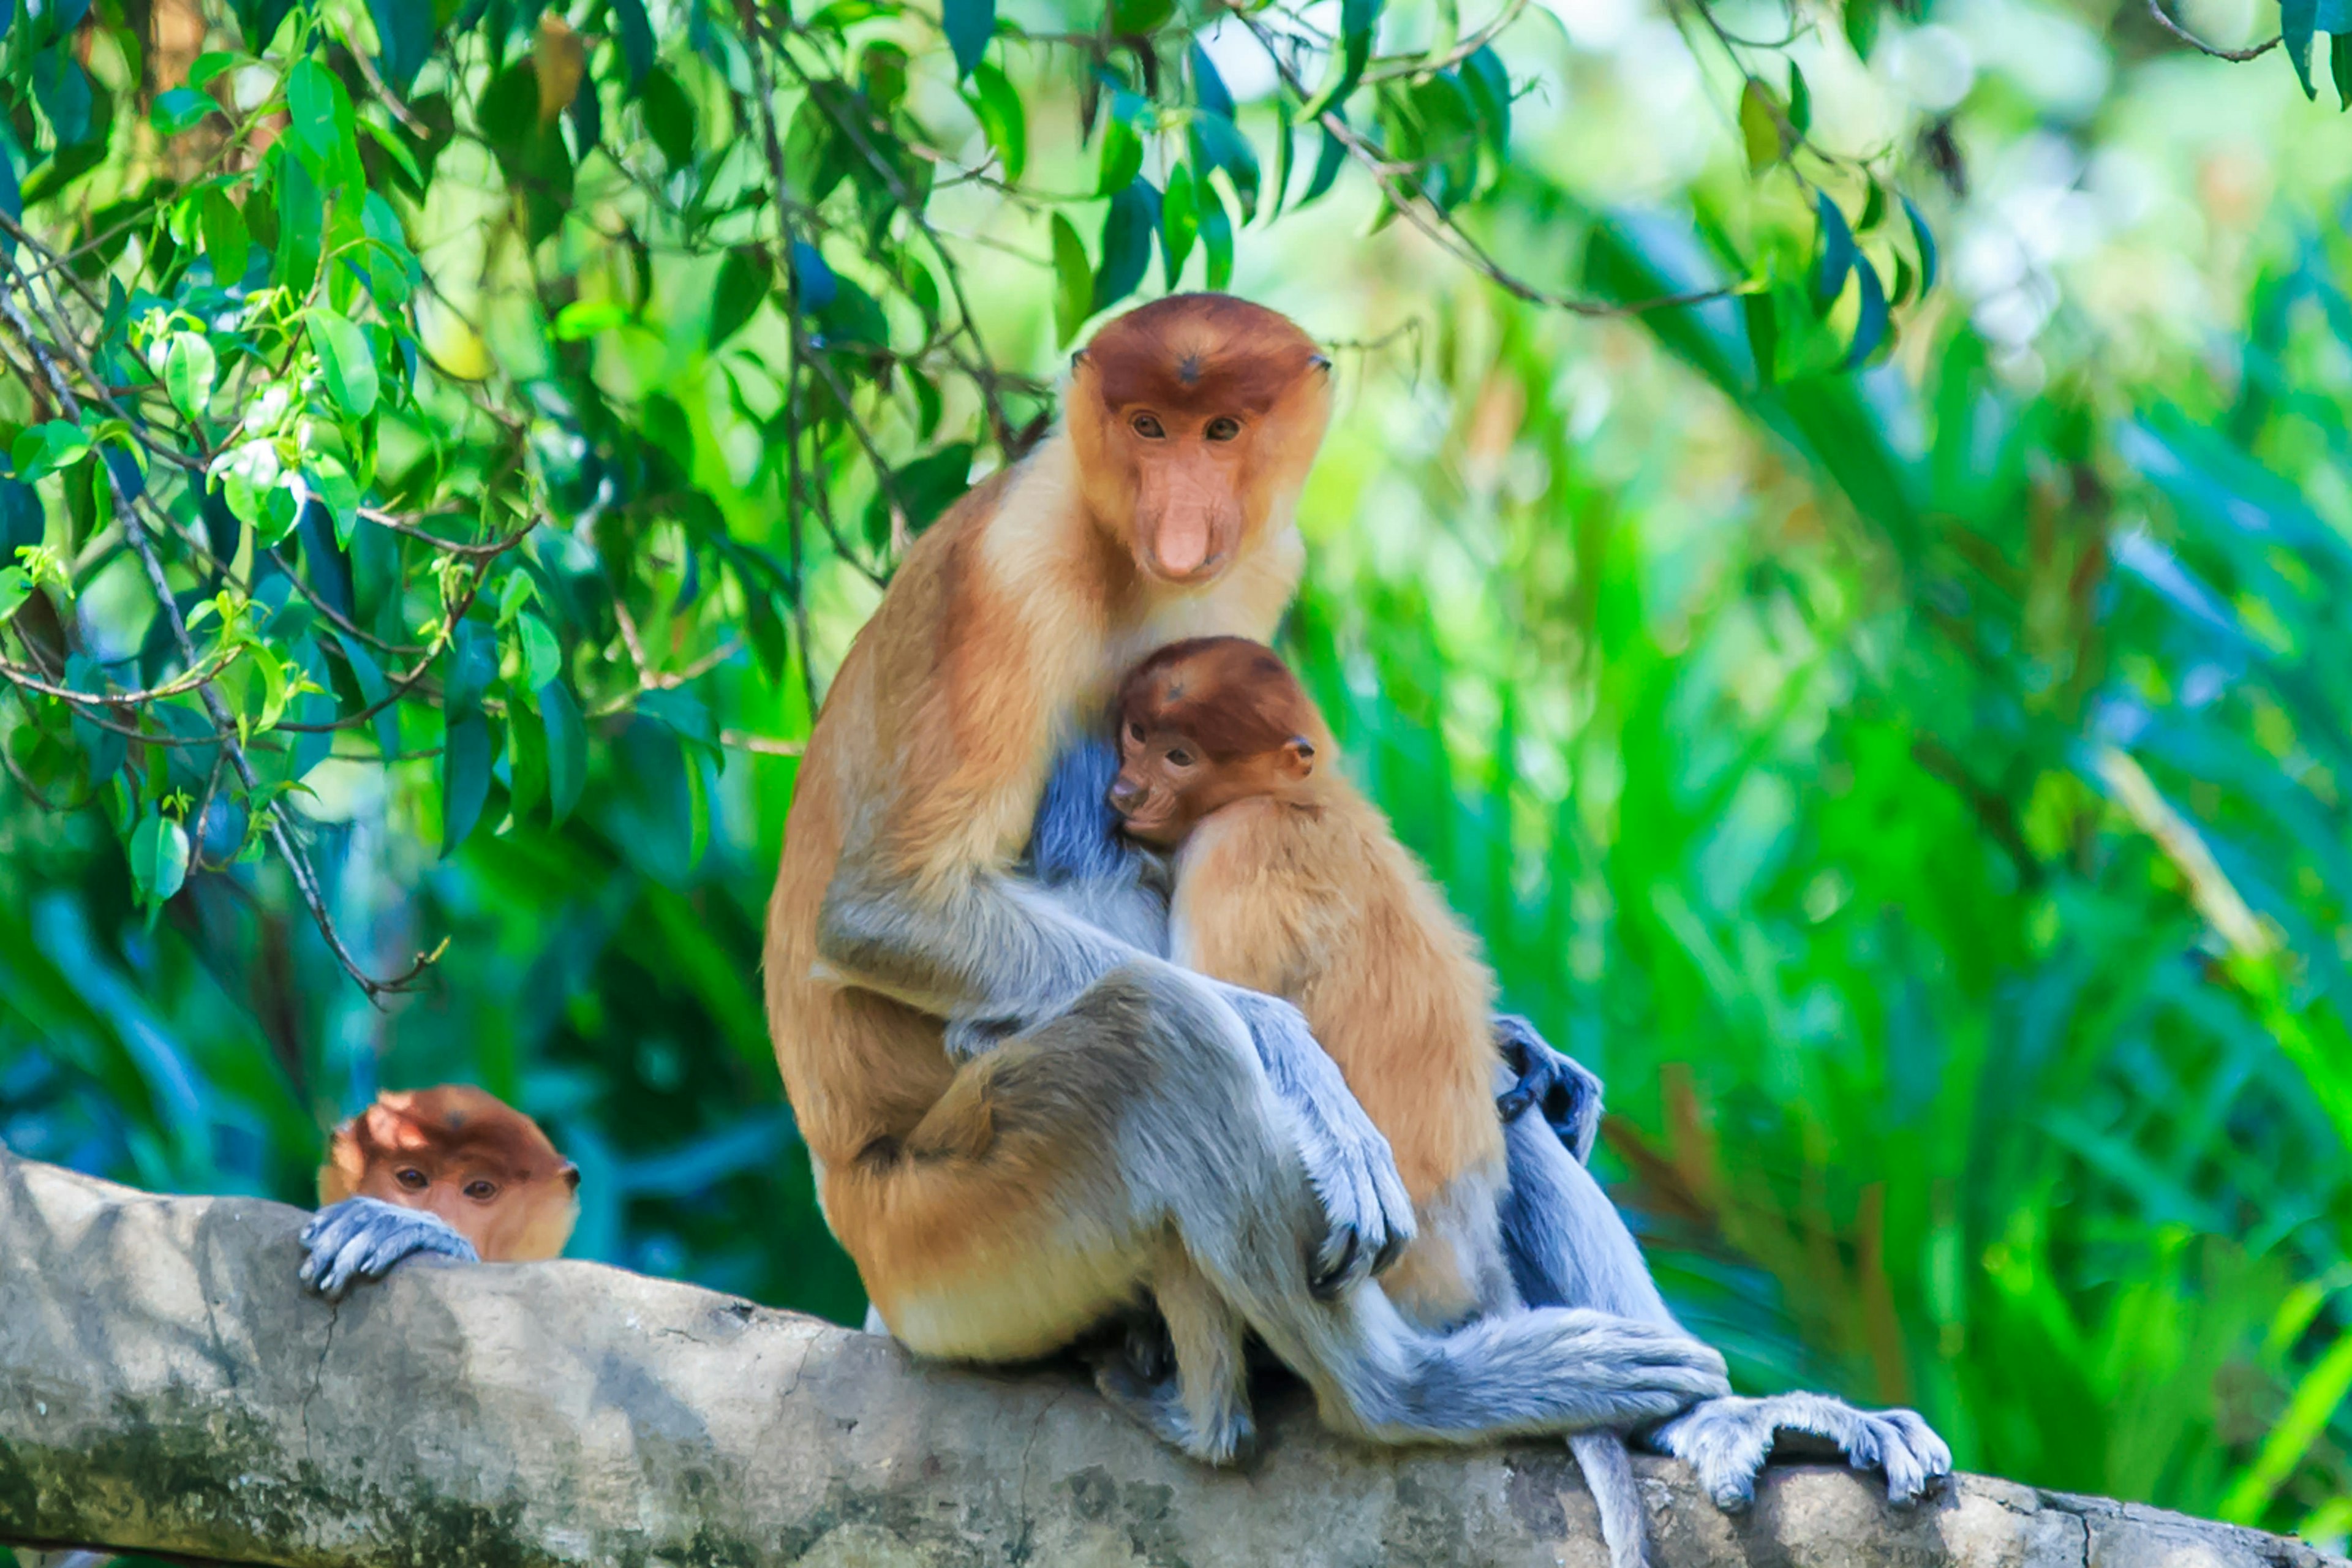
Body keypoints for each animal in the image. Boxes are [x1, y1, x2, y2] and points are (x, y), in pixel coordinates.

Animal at [766, 291, 1731, 1457]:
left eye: (1221, 431)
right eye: (1147, 428)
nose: (1183, 520)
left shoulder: (1267, 565)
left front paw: (1532, 1052)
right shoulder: (1014, 571)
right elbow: (884, 909)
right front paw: (1298, 1059)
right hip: (953, 1250)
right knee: (1158, 1037)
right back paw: (1406, 1393)